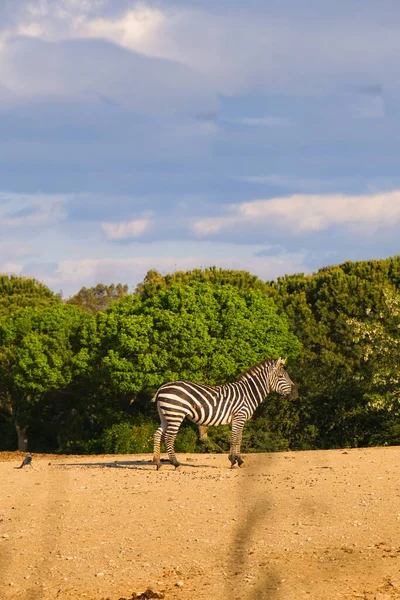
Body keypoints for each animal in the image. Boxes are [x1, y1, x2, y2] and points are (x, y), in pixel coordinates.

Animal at [152, 356, 296, 468]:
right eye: (281, 376)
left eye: (287, 376)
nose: (296, 395)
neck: (248, 393)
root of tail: (161, 388)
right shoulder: (239, 416)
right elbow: (234, 438)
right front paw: (233, 461)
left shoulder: (241, 419)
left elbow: (239, 439)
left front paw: (239, 461)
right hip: (176, 414)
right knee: (169, 437)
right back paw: (175, 463)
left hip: (165, 415)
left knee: (158, 434)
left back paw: (158, 463)